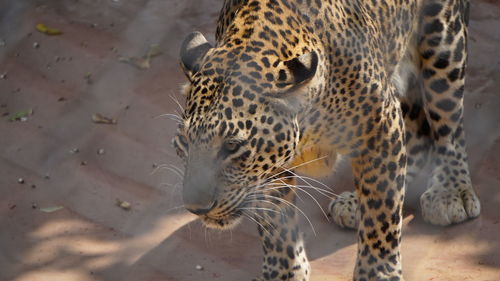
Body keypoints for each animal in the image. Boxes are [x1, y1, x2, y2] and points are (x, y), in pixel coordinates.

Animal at [172, 1, 480, 278]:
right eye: (184, 143)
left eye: (232, 146)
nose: (196, 208)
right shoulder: (271, 163)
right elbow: (275, 219)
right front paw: (285, 271)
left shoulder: (382, 122)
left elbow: (382, 210)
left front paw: (378, 272)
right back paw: (357, 202)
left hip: (444, 42)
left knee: (447, 122)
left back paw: (450, 191)